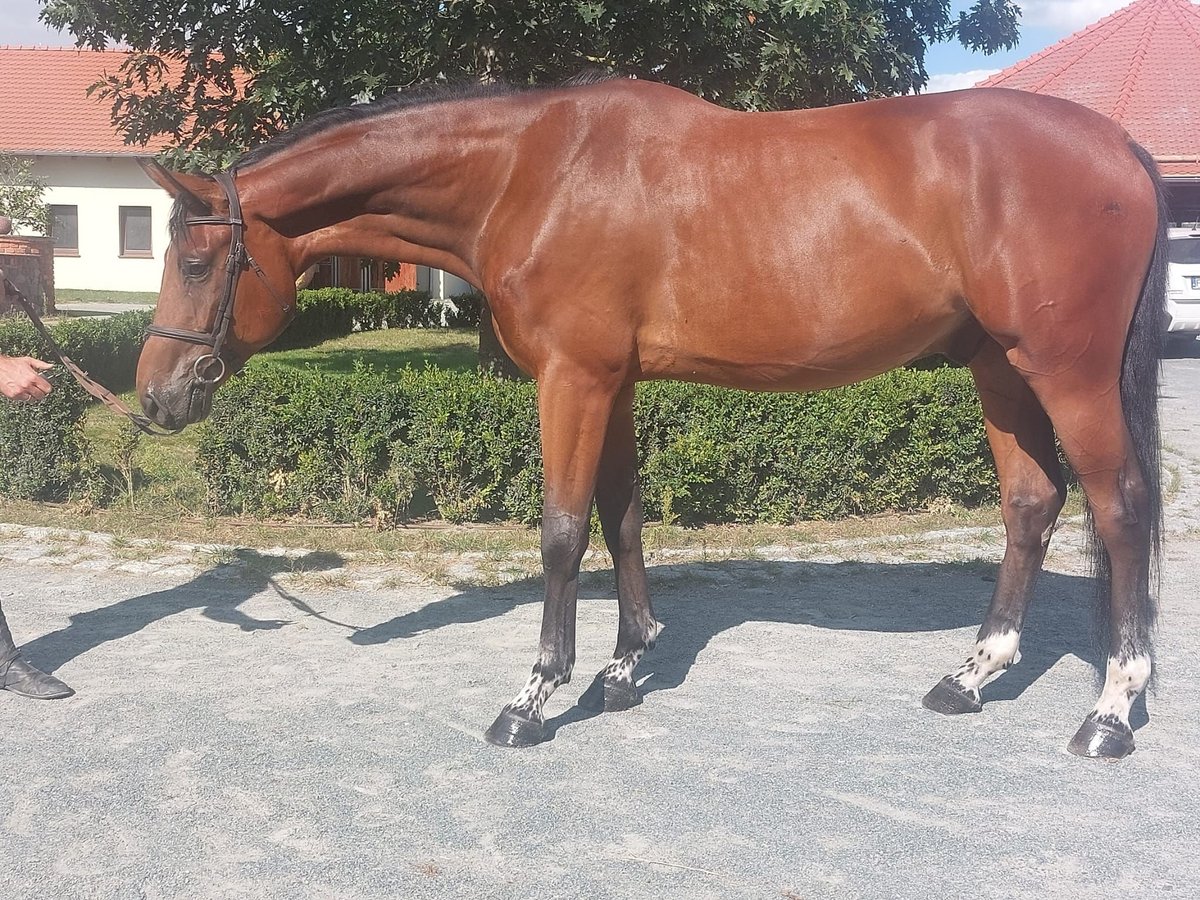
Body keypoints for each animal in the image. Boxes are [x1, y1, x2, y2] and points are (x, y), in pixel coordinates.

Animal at [135, 78, 1166, 760]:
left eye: (196, 261)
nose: (154, 396)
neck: (532, 173)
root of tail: (1119, 146)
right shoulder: (615, 382)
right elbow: (622, 516)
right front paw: (626, 670)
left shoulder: (572, 379)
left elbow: (560, 530)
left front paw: (534, 697)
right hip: (999, 368)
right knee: (1032, 504)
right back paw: (972, 676)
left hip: (1065, 372)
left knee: (1118, 509)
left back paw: (1110, 711)